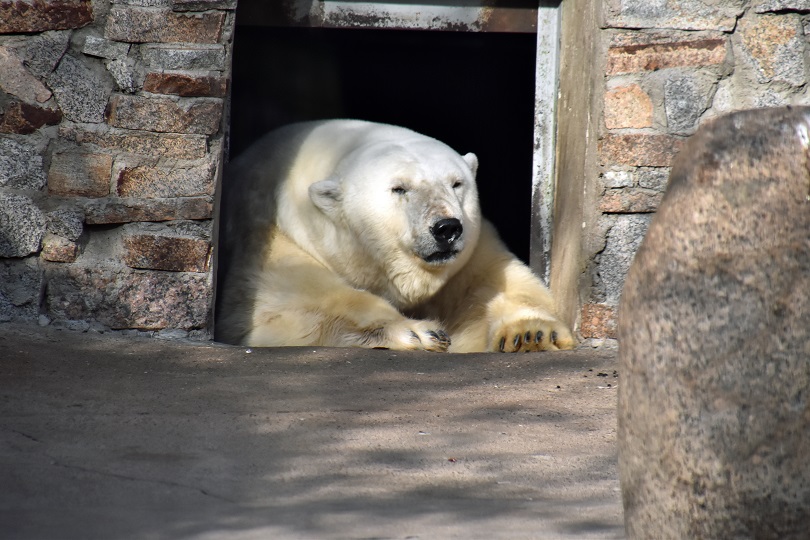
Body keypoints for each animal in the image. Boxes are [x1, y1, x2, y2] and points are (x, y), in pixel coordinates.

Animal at [213, 119, 568, 352]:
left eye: (456, 183)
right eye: (399, 188)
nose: (447, 228)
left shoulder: (472, 251)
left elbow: (495, 288)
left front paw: (532, 333)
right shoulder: (270, 233)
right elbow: (277, 310)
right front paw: (418, 333)